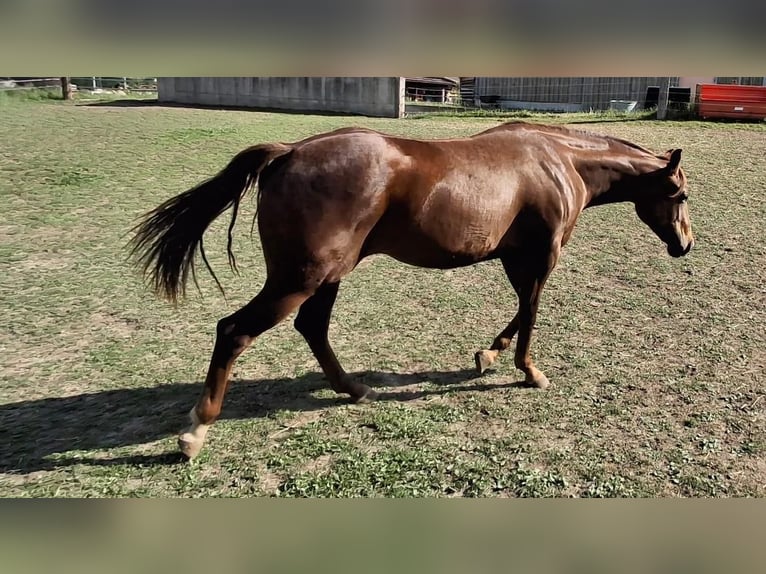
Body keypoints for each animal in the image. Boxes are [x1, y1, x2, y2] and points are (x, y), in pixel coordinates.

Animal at [129, 121, 694, 459]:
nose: (686, 245)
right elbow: (531, 311)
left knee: (313, 327)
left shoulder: (516, 257)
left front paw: (489, 354)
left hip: (326, 277)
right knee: (234, 331)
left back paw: (354, 389)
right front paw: (528, 371)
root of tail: (289, 152)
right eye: (681, 195)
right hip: (299, 280)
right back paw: (196, 430)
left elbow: (518, 310)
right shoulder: (541, 256)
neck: (558, 160)